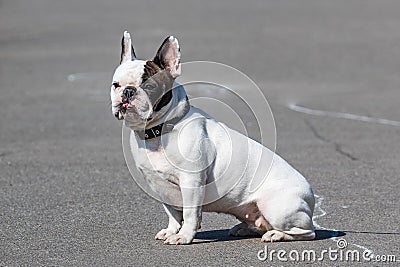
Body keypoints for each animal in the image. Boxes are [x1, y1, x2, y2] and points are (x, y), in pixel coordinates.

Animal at [109, 31, 316, 245]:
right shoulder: (160, 186)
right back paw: (244, 228)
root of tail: (311, 197)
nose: (128, 91)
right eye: (116, 85)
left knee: (306, 233)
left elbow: (190, 214)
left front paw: (183, 236)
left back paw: (276, 234)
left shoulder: (191, 182)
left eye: (149, 86)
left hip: (277, 208)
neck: (160, 130)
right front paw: (172, 230)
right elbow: (172, 213)